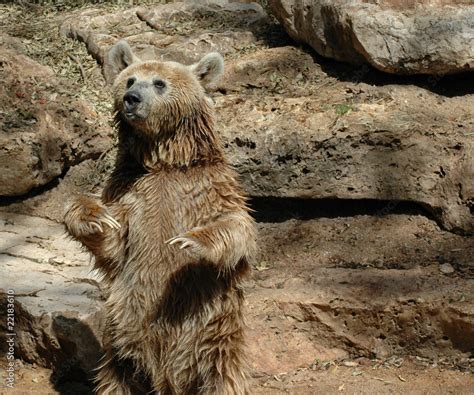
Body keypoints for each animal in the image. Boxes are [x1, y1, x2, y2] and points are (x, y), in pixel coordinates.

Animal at [64, 41, 256, 395]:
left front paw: (189, 241)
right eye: (130, 79)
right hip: (121, 339)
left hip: (213, 334)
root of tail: (166, 375)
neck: (165, 161)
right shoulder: (130, 192)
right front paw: (93, 218)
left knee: (222, 378)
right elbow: (113, 242)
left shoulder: (209, 187)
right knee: (115, 377)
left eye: (159, 83)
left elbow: (237, 229)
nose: (132, 98)